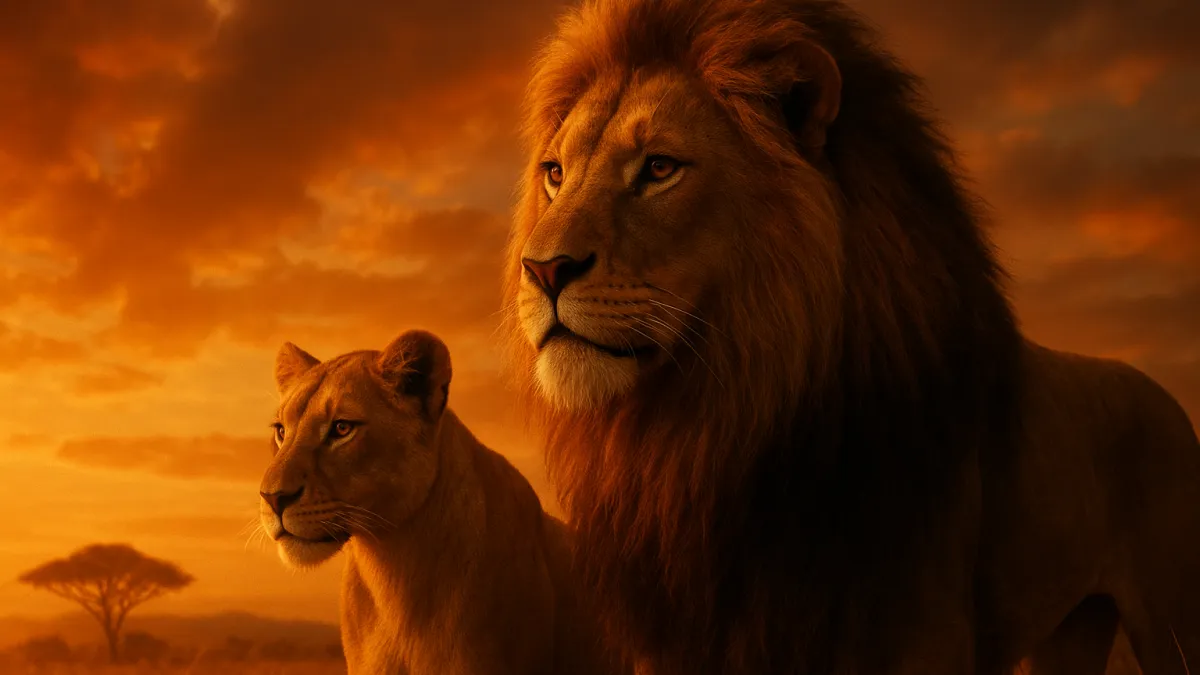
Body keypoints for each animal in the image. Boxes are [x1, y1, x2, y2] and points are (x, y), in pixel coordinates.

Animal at [499, 0, 1200, 674]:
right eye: (555, 173)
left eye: (660, 168)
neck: (711, 435)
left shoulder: (919, 636)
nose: (542, 269)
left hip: (1170, 617)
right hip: (1070, 631)